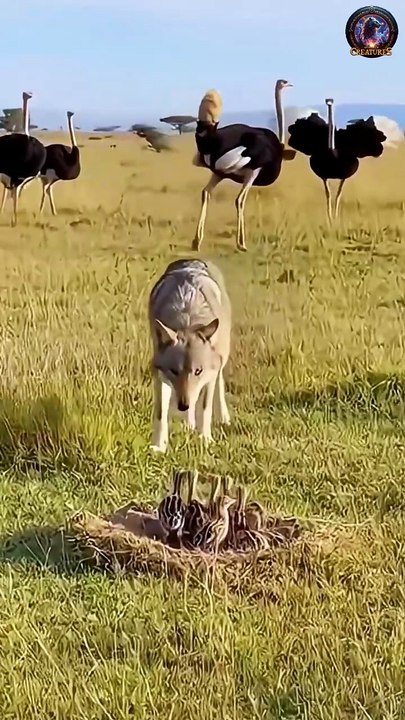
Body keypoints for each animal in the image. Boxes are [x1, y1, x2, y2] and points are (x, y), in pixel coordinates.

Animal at [148, 258, 231, 452]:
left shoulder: (209, 376)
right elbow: (160, 414)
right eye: (174, 371)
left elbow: (205, 408)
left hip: (222, 359)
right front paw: (159, 446)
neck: (187, 319)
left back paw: (223, 417)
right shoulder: (160, 376)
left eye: (198, 371)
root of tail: (193, 260)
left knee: (219, 382)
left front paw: (205, 439)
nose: (182, 405)